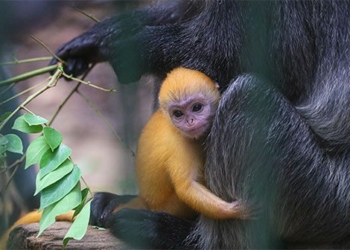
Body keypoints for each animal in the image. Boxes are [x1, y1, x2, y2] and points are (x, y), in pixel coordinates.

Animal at [49, 0, 350, 249]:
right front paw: (100, 36)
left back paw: (177, 235)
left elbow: (263, 63)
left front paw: (137, 46)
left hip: (322, 197)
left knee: (246, 98)